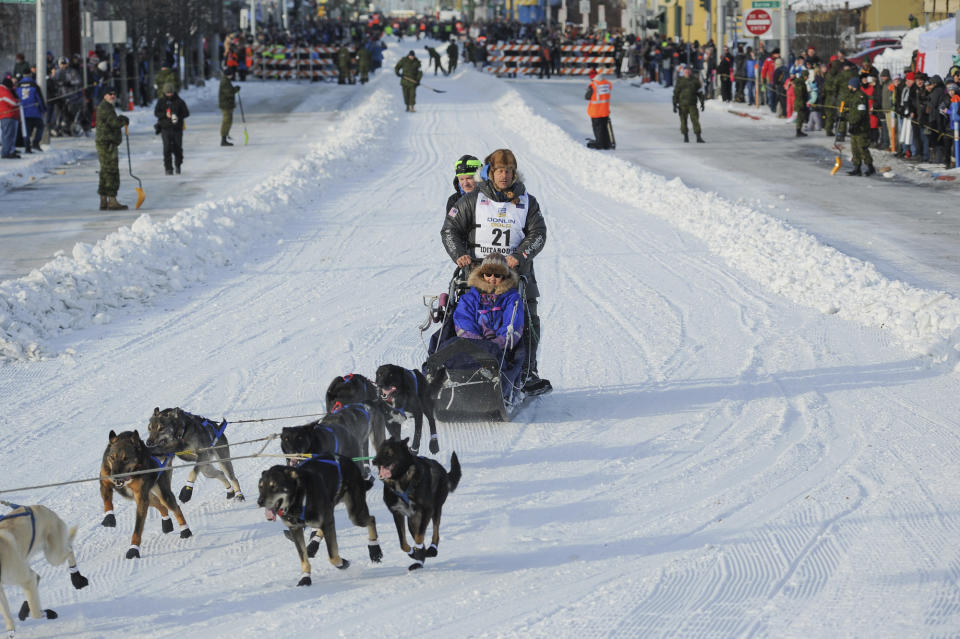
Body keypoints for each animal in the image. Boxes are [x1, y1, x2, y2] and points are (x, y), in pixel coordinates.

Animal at [0, 504, 90, 639]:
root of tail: (44, 508)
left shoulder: (26, 579)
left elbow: (36, 613)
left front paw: (48, 613)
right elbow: (7, 614)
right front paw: (11, 631)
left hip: (53, 556)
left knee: (69, 549)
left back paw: (76, 578)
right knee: (37, 577)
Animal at [99, 430, 193, 560]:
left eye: (125, 458)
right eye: (112, 458)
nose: (116, 478)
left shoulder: (141, 497)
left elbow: (138, 528)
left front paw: (133, 549)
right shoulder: (105, 482)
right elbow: (107, 502)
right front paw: (109, 517)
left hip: (160, 493)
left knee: (174, 507)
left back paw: (185, 530)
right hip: (146, 497)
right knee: (161, 505)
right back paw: (167, 524)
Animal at [260, 458, 388, 588]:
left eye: (274, 486)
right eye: (260, 487)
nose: (259, 501)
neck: (300, 498)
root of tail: (348, 460)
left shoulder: (327, 521)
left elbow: (332, 556)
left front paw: (343, 563)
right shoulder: (295, 529)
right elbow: (303, 558)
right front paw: (305, 578)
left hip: (355, 515)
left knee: (371, 519)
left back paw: (375, 551)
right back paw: (313, 546)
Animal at [372, 440, 462, 568]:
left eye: (389, 452)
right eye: (378, 451)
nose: (374, 461)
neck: (400, 480)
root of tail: (443, 470)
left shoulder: (427, 510)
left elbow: (419, 537)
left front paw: (418, 549)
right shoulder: (397, 513)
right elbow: (403, 543)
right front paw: (413, 553)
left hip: (435, 509)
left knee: (435, 532)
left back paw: (431, 550)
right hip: (412, 520)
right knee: (417, 533)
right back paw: (419, 560)